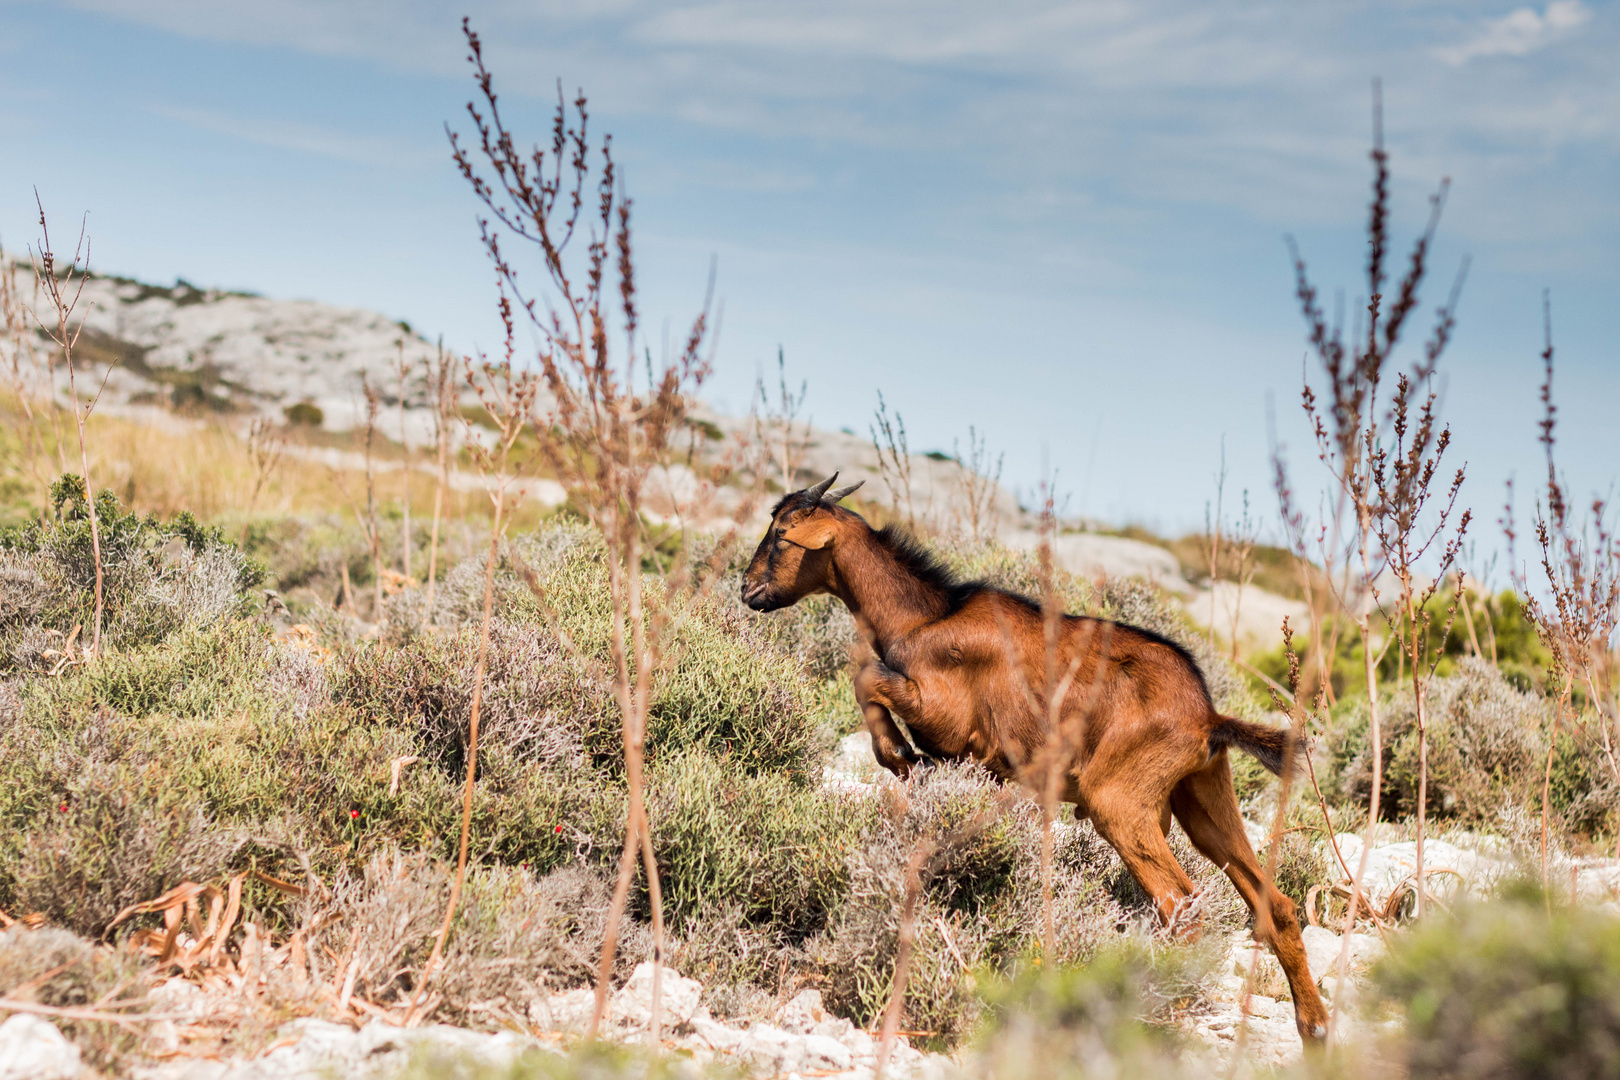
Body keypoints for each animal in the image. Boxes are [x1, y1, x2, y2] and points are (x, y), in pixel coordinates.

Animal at [745, 472, 1328, 1049]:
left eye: (780, 535)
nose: (747, 590)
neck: (924, 618)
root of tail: (1207, 715)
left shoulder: (944, 715)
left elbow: (864, 673)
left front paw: (896, 754)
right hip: (1203, 797)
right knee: (1273, 904)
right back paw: (1315, 1028)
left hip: (1119, 802)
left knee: (1181, 907)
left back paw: (1163, 1016)